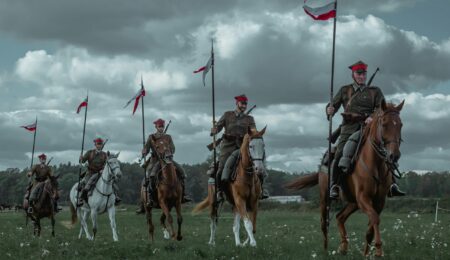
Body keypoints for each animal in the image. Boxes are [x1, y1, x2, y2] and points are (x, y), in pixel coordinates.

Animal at [286, 100, 406, 256]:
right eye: (384, 124)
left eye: (400, 124)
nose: (394, 155)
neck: (375, 164)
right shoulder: (363, 198)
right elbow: (374, 218)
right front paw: (378, 250)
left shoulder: (379, 201)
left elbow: (371, 227)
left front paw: (366, 253)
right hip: (326, 199)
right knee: (324, 222)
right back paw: (326, 249)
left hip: (353, 202)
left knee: (340, 217)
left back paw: (343, 246)